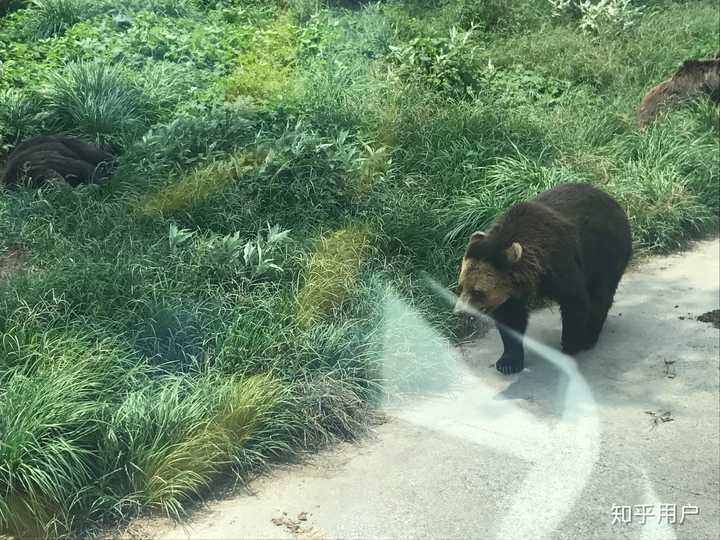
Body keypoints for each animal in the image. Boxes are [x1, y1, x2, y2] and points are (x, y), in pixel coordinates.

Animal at [456, 184, 632, 374]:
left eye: (477, 291)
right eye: (461, 286)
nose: (459, 311)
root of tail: (614, 201)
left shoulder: (561, 262)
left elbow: (574, 300)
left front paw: (572, 343)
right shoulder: (510, 290)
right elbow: (511, 318)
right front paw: (508, 362)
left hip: (604, 252)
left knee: (600, 294)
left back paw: (590, 336)